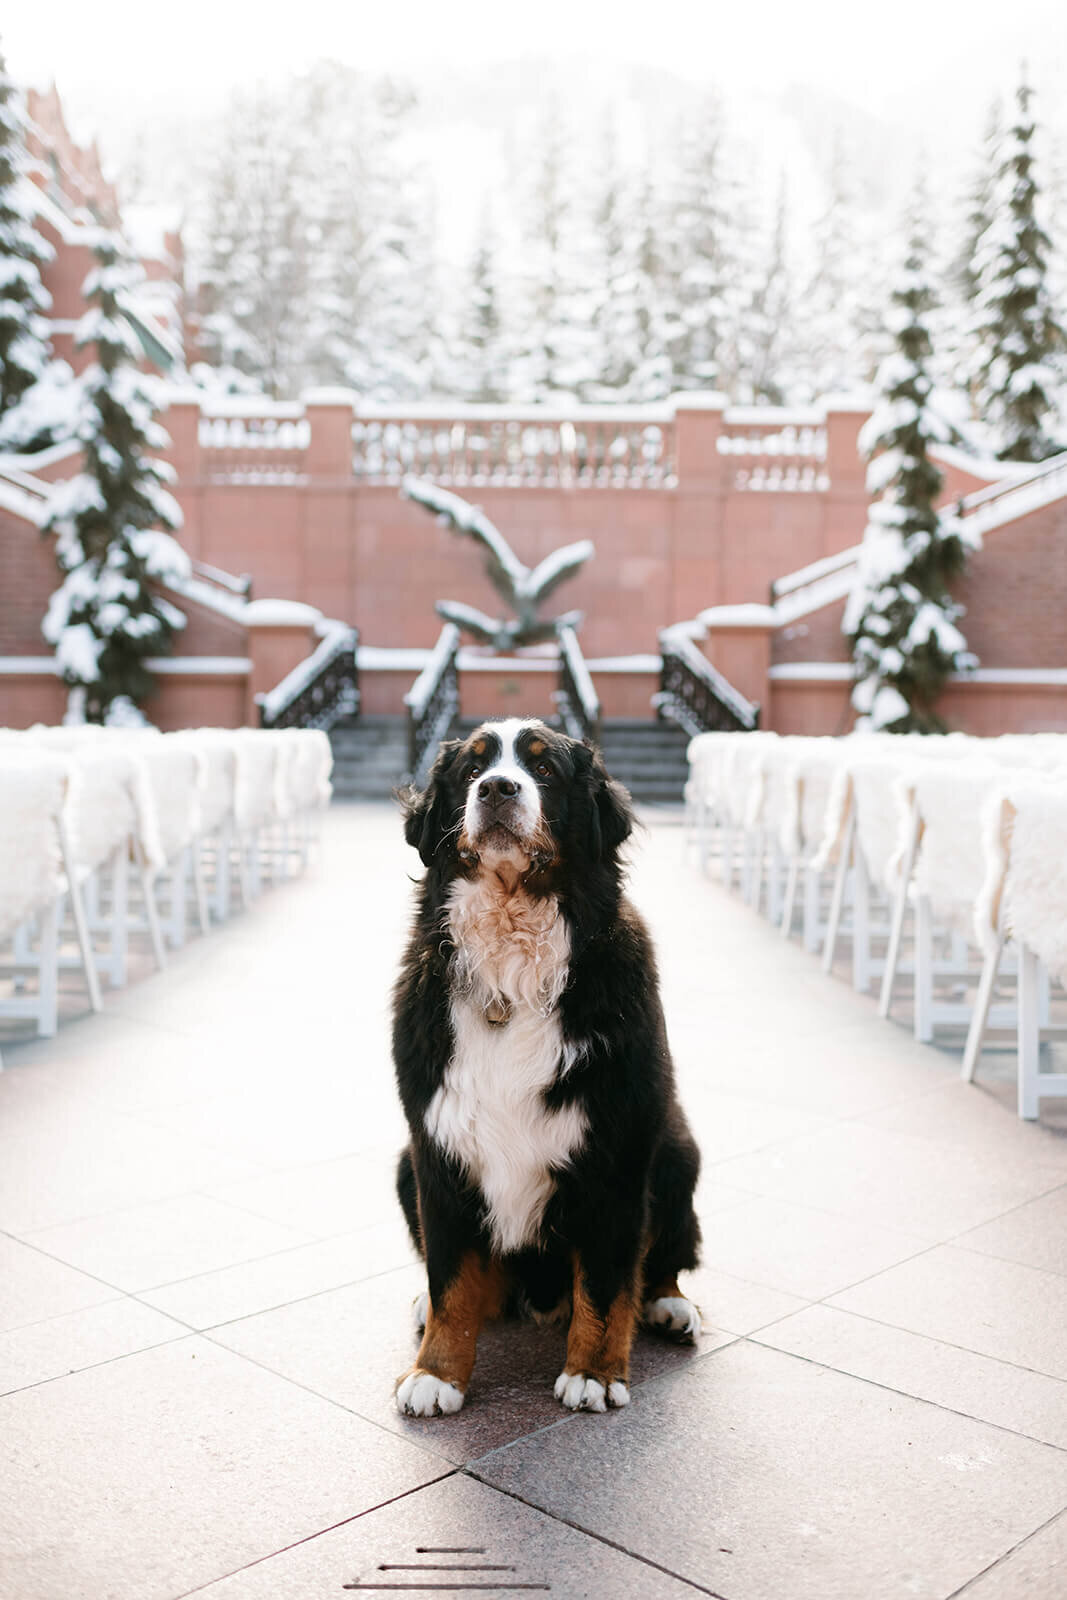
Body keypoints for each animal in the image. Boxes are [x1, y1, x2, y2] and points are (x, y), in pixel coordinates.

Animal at [390, 720, 700, 1420]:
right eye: (471, 770)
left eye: (544, 770)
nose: (497, 789)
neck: (512, 970)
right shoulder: (437, 1151)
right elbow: (451, 1281)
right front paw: (436, 1374)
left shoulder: (616, 1154)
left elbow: (607, 1284)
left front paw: (594, 1373)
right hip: (402, 1167)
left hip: (677, 1151)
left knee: (665, 1256)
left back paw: (669, 1305)